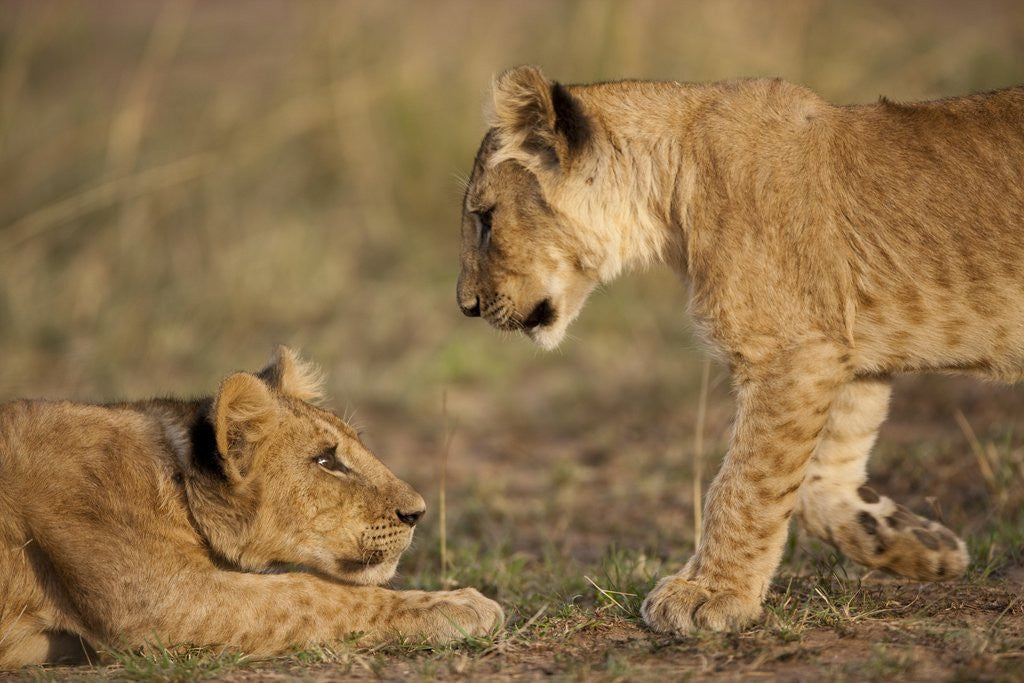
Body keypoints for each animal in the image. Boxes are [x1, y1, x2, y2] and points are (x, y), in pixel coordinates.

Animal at [0, 346, 502, 668]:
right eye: (326, 461)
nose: (418, 512)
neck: (177, 481)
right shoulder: (161, 604)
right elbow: (309, 593)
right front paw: (460, 605)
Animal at [456, 65, 1024, 634]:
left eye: (485, 218)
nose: (466, 306)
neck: (671, 192)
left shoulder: (791, 350)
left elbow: (745, 483)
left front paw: (710, 594)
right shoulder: (843, 347)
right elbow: (819, 479)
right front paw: (922, 545)